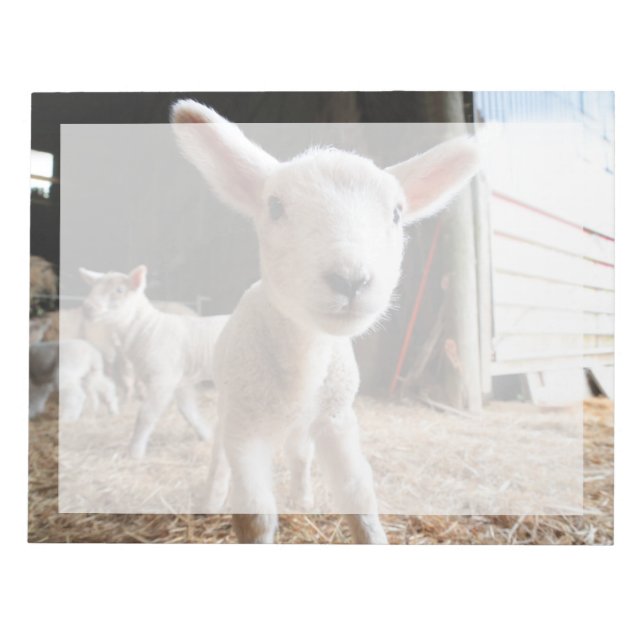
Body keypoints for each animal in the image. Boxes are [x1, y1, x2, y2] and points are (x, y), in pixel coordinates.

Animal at [79, 266, 229, 458]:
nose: (87, 307)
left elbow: (146, 414)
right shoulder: (179, 380)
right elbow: (188, 410)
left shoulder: (164, 377)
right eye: (93, 287)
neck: (148, 329)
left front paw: (135, 452)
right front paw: (206, 435)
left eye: (119, 290)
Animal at [170, 100, 479, 544]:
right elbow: (255, 514)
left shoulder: (337, 419)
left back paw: (302, 497)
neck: (304, 365)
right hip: (231, 404)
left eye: (397, 213)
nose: (351, 279)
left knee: (300, 453)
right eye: (275, 207)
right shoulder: (246, 430)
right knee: (219, 456)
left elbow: (357, 493)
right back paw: (211, 497)